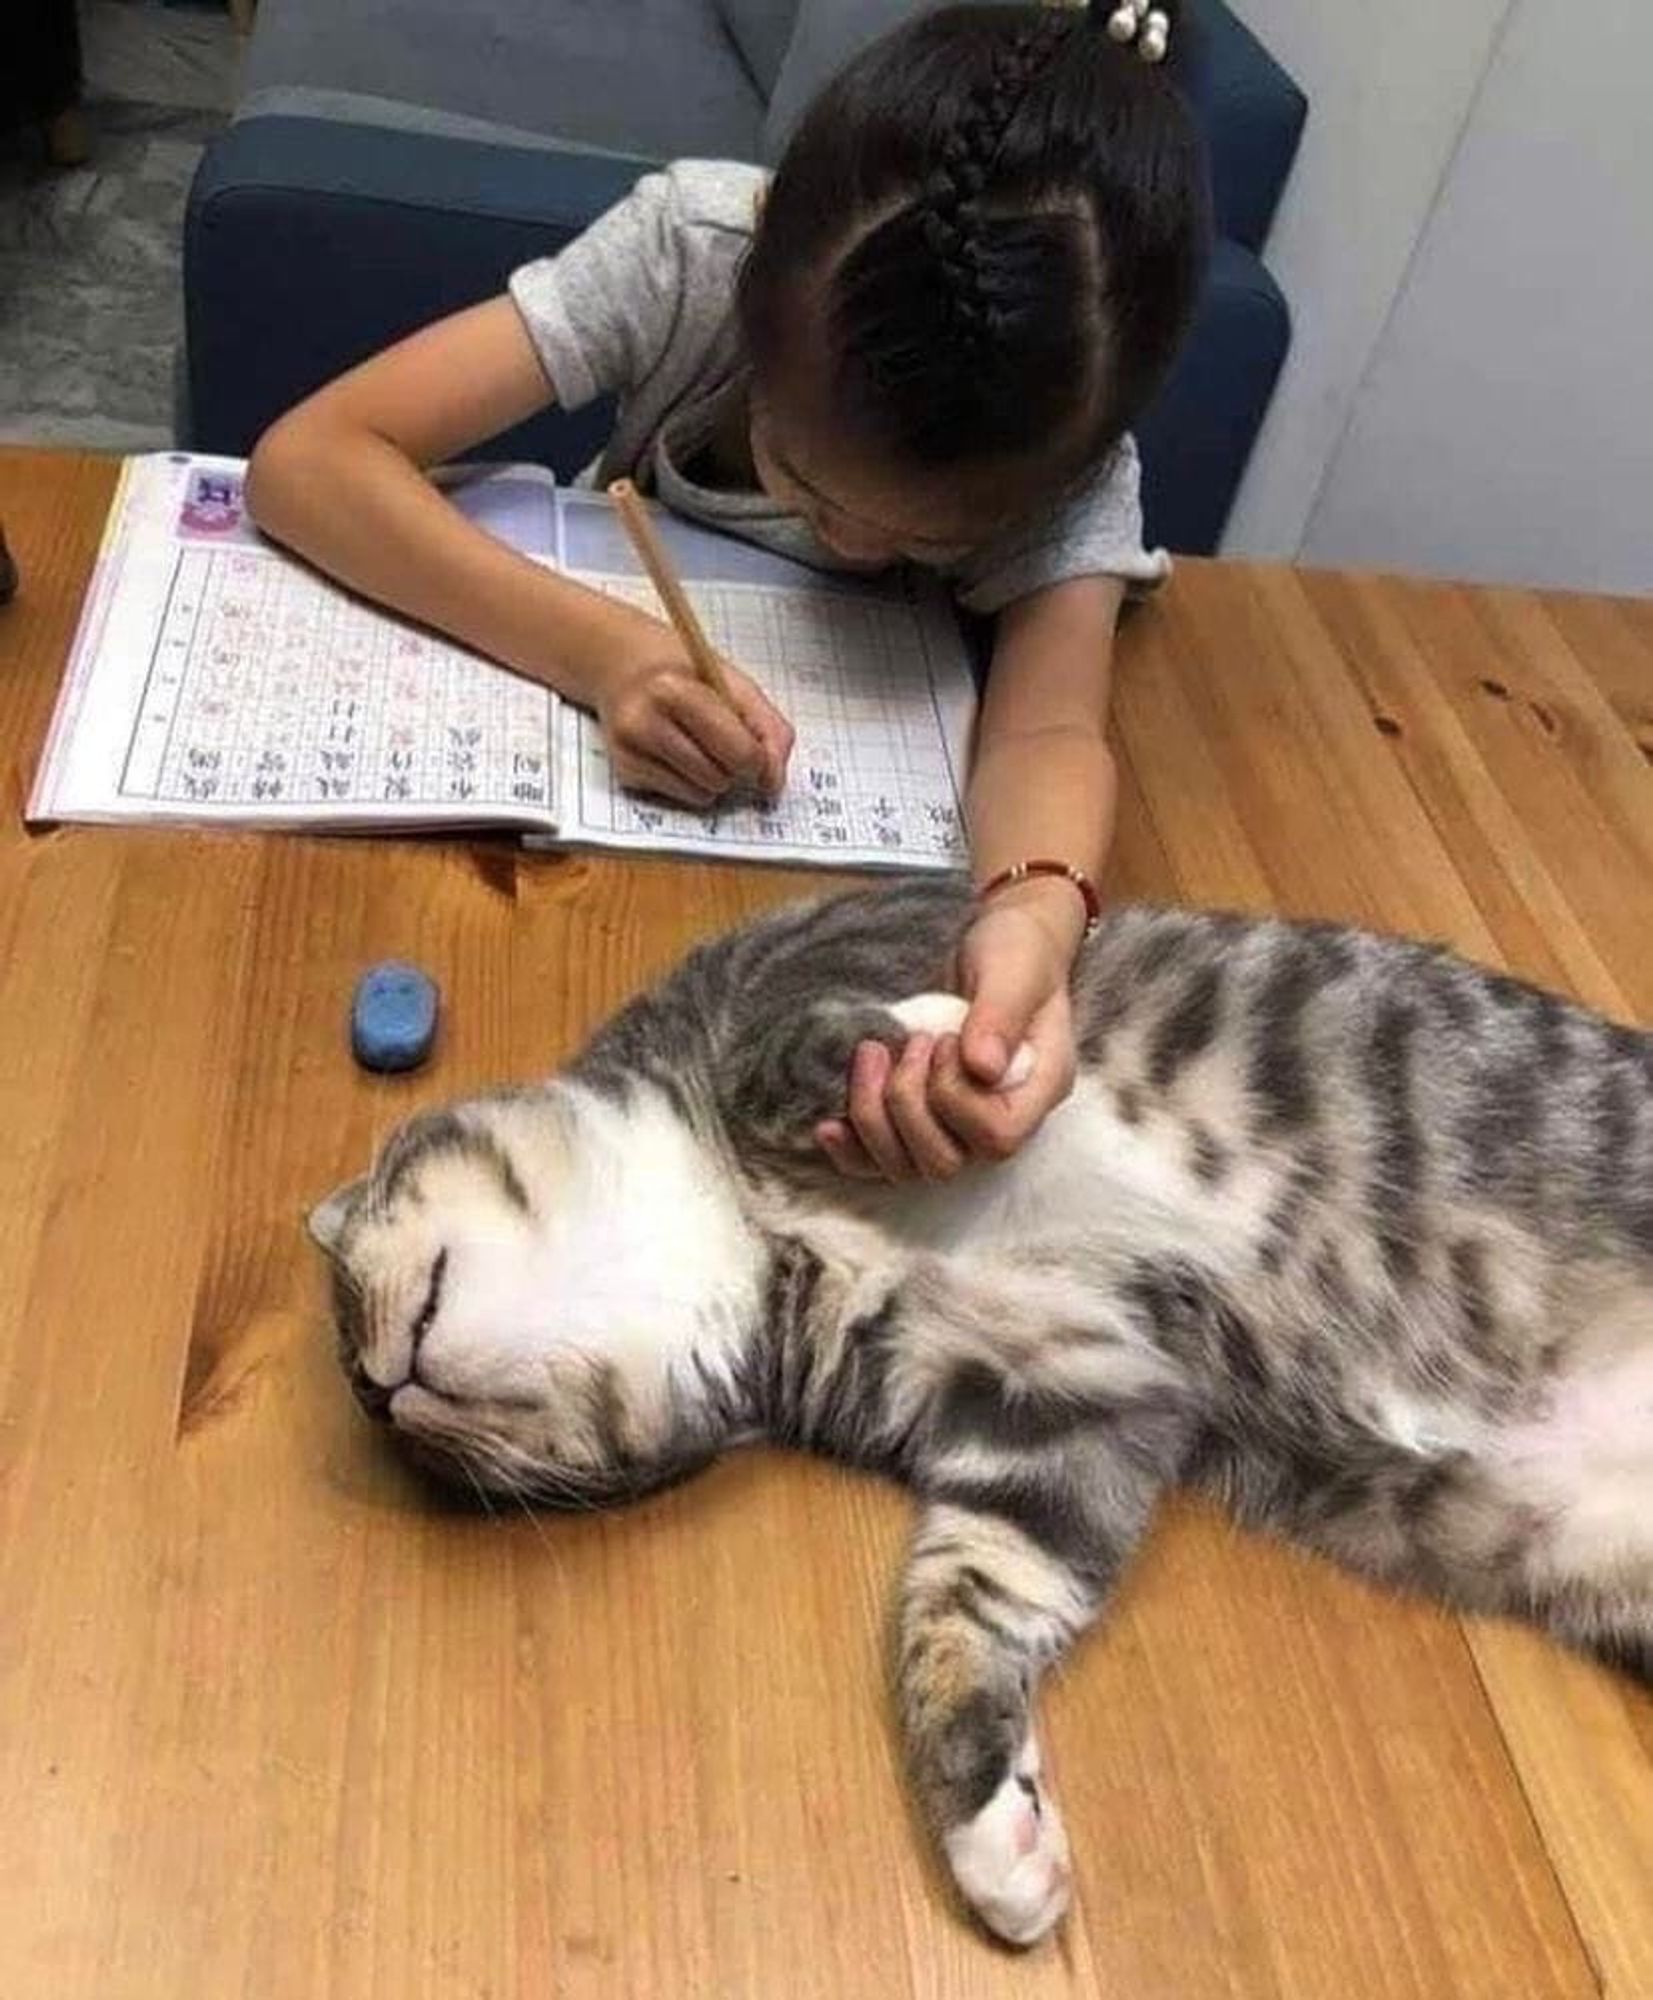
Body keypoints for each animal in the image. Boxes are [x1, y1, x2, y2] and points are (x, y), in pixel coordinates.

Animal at [308, 876, 1648, 1936]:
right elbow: (960, 1604)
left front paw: (940, 1035)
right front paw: (995, 1834)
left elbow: (796, 1040)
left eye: (340, 1297)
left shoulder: (846, 943)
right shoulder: (1057, 1394)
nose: (375, 1393)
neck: (746, 1225)